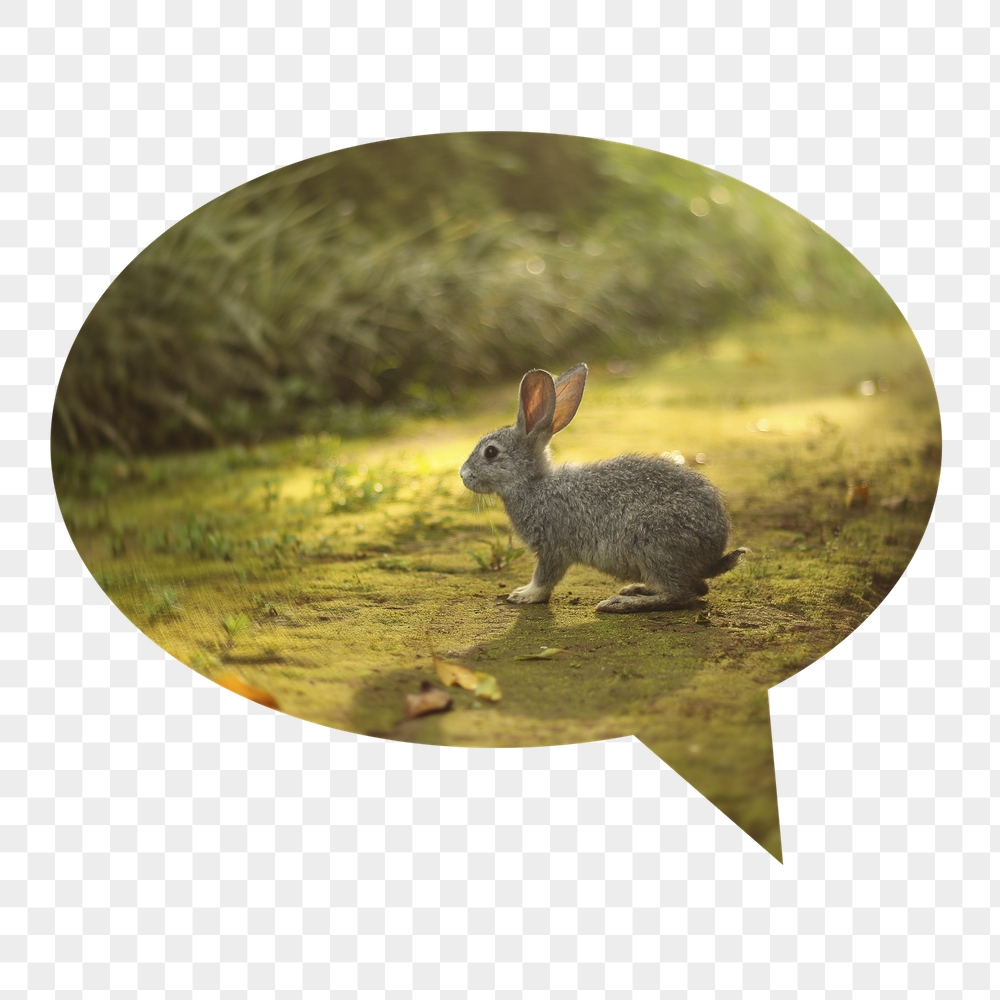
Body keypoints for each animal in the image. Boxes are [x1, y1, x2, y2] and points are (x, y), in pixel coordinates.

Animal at [459, 362, 747, 612]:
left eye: (491, 452)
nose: (463, 474)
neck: (533, 484)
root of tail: (713, 554)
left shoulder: (554, 546)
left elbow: (545, 577)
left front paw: (525, 595)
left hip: (655, 545)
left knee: (681, 594)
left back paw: (622, 603)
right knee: (696, 588)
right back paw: (635, 589)